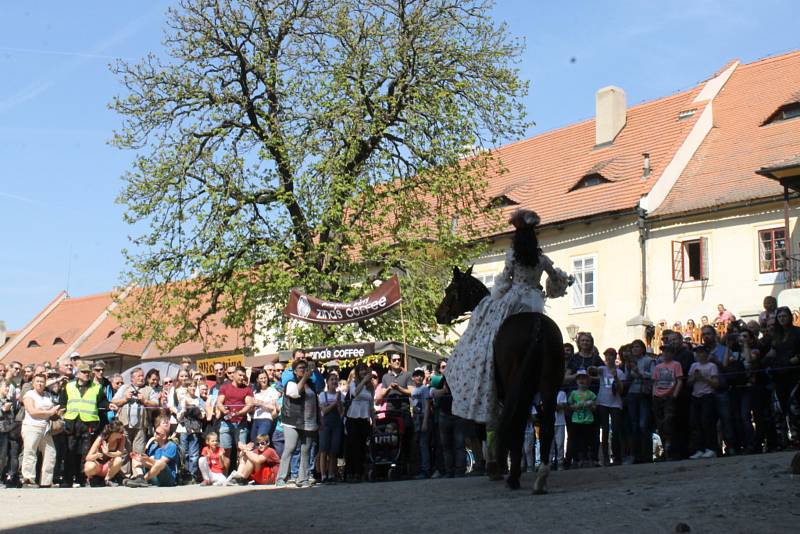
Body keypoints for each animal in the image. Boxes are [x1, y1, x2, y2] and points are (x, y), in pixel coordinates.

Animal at [434, 266, 564, 496]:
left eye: (450, 290)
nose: (439, 314)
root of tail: (538, 326)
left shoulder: (496, 396)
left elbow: (490, 429)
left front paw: (495, 467)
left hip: (519, 388)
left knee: (516, 424)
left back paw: (514, 478)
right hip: (548, 387)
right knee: (545, 425)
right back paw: (540, 478)